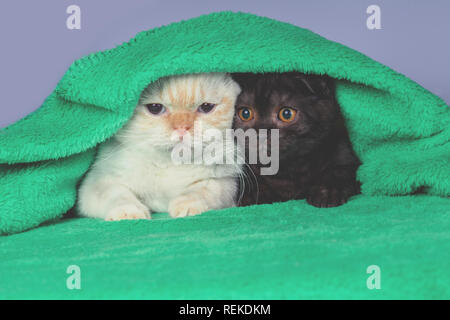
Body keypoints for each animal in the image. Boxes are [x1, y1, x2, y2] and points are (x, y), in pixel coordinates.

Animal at [76, 73, 243, 221]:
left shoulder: (226, 184)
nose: (181, 128)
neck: (168, 164)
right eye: (155, 108)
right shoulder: (95, 184)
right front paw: (128, 212)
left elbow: (203, 189)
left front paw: (187, 204)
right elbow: (116, 194)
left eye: (206, 107)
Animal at [232, 72, 362, 208]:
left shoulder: (344, 153)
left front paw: (328, 192)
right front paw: (255, 195)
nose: (261, 134)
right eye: (245, 113)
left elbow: (339, 171)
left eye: (287, 114)